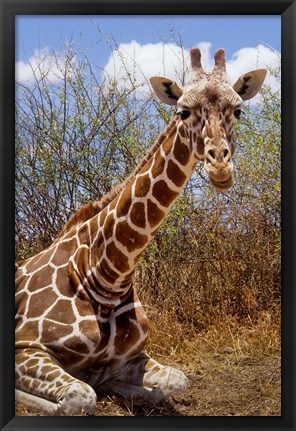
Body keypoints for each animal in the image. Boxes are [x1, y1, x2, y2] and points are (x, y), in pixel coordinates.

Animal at [15, 48, 266, 416]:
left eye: (237, 110)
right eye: (183, 111)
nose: (219, 165)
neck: (105, 273)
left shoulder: (134, 355)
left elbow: (177, 380)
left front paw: (112, 383)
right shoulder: (25, 346)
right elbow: (77, 398)